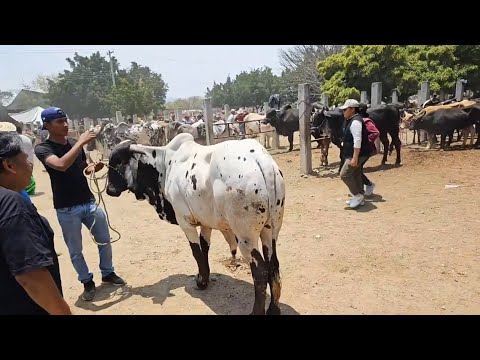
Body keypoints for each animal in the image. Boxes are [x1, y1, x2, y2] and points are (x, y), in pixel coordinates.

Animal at [105, 133, 284, 316]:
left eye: (117, 161)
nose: (109, 190)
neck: (166, 163)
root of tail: (262, 160)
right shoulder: (206, 223)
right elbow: (205, 248)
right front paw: (204, 277)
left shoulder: (186, 223)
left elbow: (196, 252)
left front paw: (201, 282)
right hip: (270, 230)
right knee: (273, 265)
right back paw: (273, 309)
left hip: (246, 237)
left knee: (260, 271)